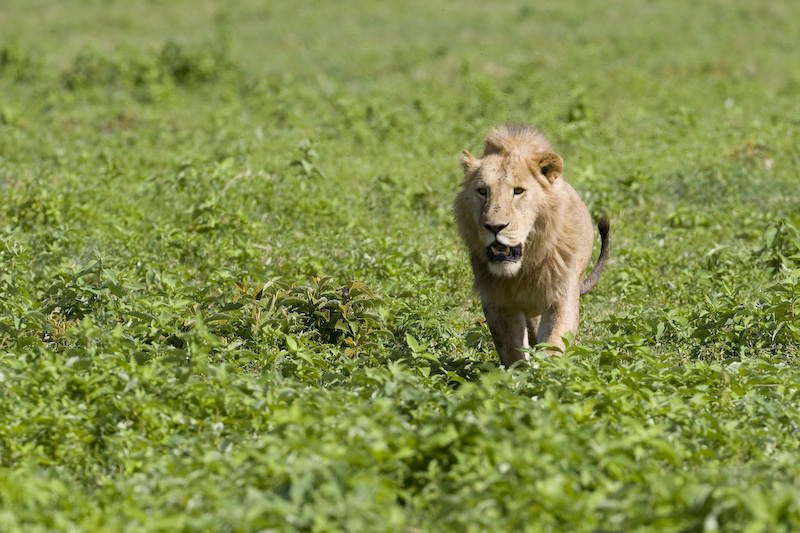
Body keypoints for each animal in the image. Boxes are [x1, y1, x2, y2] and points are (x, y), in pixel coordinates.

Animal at [454, 124, 608, 368]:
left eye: (518, 191)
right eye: (482, 191)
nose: (494, 227)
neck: (524, 268)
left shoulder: (562, 297)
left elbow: (555, 343)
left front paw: (545, 372)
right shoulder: (499, 304)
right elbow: (511, 350)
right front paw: (520, 373)